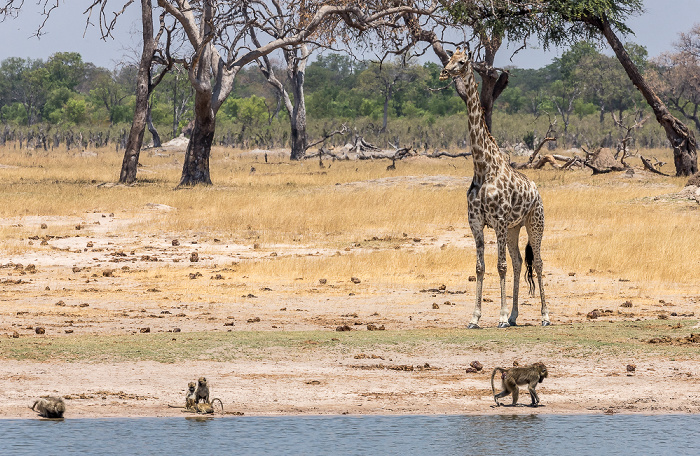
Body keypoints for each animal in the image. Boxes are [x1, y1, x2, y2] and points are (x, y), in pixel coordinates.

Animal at [440, 48, 548, 328]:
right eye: (449, 58)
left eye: (462, 61)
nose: (444, 72)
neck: (482, 167)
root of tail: (537, 191)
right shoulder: (476, 223)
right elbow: (481, 267)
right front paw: (475, 317)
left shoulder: (498, 221)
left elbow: (500, 266)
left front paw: (498, 317)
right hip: (513, 229)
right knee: (519, 261)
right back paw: (514, 315)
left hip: (534, 223)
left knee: (538, 262)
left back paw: (544, 315)